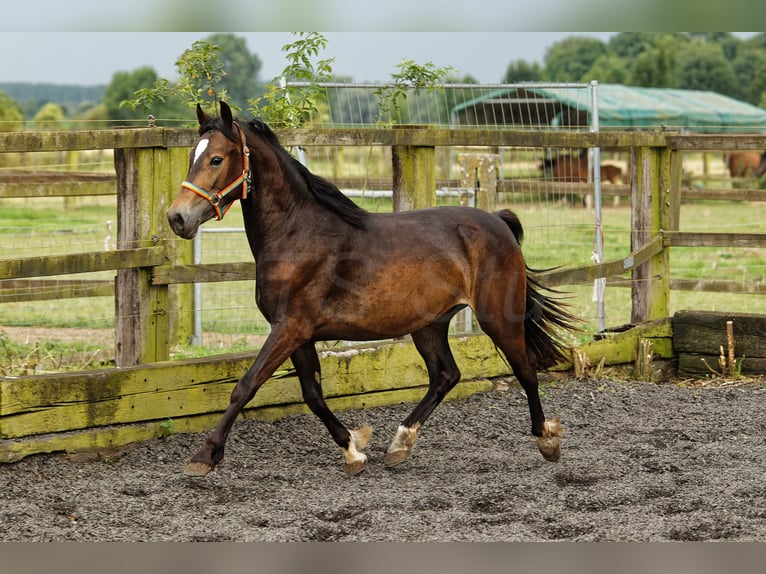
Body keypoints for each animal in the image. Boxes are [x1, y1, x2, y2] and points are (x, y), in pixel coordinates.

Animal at [167, 101, 579, 477]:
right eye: (190, 157)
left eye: (216, 159)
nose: (177, 218)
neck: (297, 233)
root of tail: (498, 221)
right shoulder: (298, 334)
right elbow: (313, 395)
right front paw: (354, 449)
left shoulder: (289, 328)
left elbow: (246, 385)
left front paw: (203, 457)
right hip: (429, 325)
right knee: (446, 375)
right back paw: (399, 445)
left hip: (497, 317)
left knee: (525, 368)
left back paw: (547, 440)